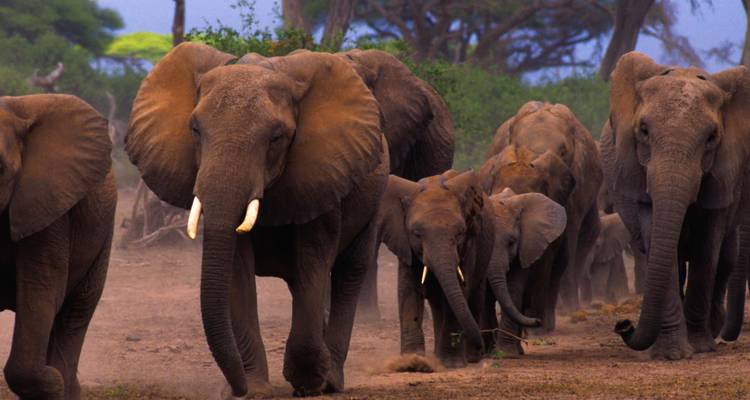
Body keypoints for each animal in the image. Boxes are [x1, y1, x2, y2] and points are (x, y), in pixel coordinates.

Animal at [125, 43, 390, 397]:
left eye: (277, 137)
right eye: (195, 130)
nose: (233, 389)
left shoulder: (322, 173)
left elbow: (313, 261)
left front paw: (308, 384)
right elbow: (237, 268)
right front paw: (254, 388)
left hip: (372, 197)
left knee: (349, 272)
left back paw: (331, 381)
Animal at [376, 170, 537, 367]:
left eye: (460, 233)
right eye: (416, 234)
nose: (537, 320)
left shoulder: (470, 243)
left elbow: (460, 288)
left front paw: (451, 363)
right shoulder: (405, 243)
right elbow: (409, 290)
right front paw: (411, 361)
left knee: (473, 296)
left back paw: (469, 357)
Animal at [479, 188, 567, 357]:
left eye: (512, 242)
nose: (538, 321)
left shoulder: (525, 249)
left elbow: (513, 290)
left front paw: (506, 354)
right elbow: (485, 296)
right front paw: (492, 352)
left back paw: (517, 350)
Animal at [601, 51, 750, 359]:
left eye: (711, 138)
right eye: (643, 131)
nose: (623, 325)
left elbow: (707, 247)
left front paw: (700, 347)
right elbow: (655, 237)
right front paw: (671, 354)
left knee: (724, 258)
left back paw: (712, 329)